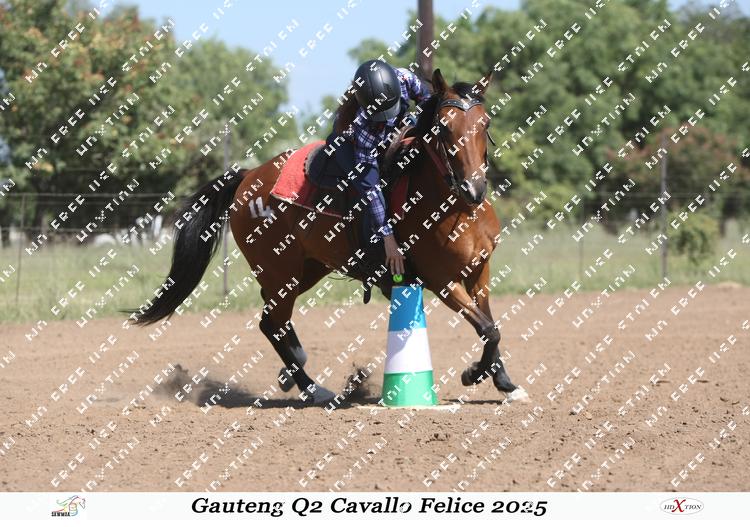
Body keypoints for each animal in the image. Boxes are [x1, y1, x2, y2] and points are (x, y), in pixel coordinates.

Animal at [131, 68, 528, 405]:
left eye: (485, 123)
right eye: (443, 128)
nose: (474, 189)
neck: (454, 208)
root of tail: (248, 176)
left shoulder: (479, 272)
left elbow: (491, 327)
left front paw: (506, 383)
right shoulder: (442, 281)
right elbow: (488, 327)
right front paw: (472, 374)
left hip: (307, 269)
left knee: (272, 322)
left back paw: (293, 374)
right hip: (280, 273)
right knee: (271, 322)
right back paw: (312, 388)